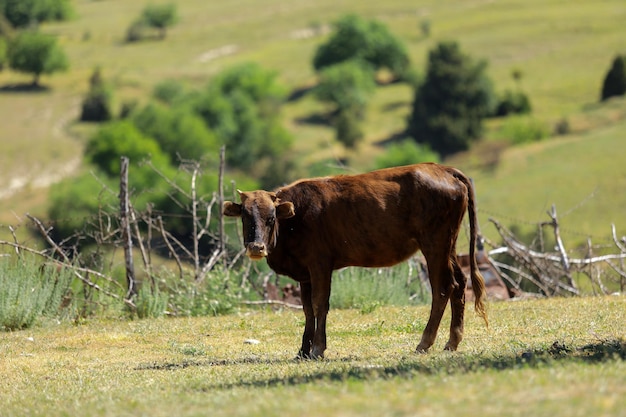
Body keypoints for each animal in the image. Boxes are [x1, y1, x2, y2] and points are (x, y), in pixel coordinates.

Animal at [224, 162, 488, 358]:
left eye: (271, 218)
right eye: (245, 217)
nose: (256, 247)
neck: (294, 220)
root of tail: (443, 169)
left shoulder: (320, 264)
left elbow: (320, 304)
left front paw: (318, 349)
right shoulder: (305, 273)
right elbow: (307, 309)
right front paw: (302, 351)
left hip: (434, 244)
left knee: (442, 288)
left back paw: (424, 342)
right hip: (448, 246)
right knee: (460, 283)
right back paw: (452, 341)